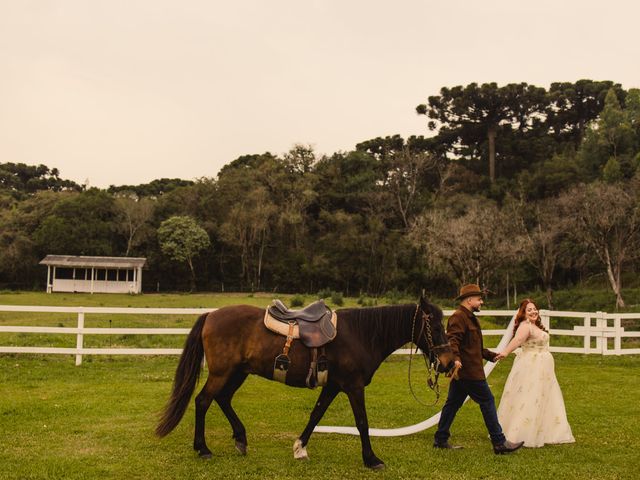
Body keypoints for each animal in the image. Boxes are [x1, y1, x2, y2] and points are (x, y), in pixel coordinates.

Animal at [157, 296, 452, 468]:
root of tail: (211, 315)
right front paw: (371, 459)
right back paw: (203, 448)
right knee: (203, 401)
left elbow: (316, 415)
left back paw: (240, 439)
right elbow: (362, 422)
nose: (449, 363)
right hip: (222, 373)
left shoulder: (333, 386)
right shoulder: (353, 386)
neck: (361, 334)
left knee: (222, 399)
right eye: (436, 327)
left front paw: (299, 448)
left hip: (238, 372)